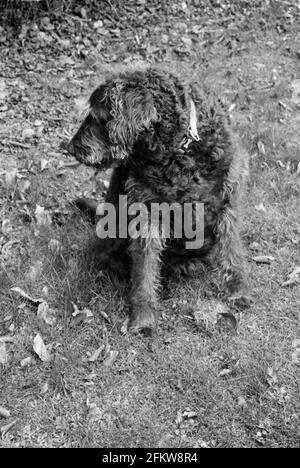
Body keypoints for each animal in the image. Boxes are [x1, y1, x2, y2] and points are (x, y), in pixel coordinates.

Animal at [66, 67, 251, 334]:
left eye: (98, 117)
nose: (71, 148)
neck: (178, 151)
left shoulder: (227, 203)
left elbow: (233, 252)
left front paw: (238, 290)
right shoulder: (148, 216)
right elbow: (144, 272)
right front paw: (143, 317)